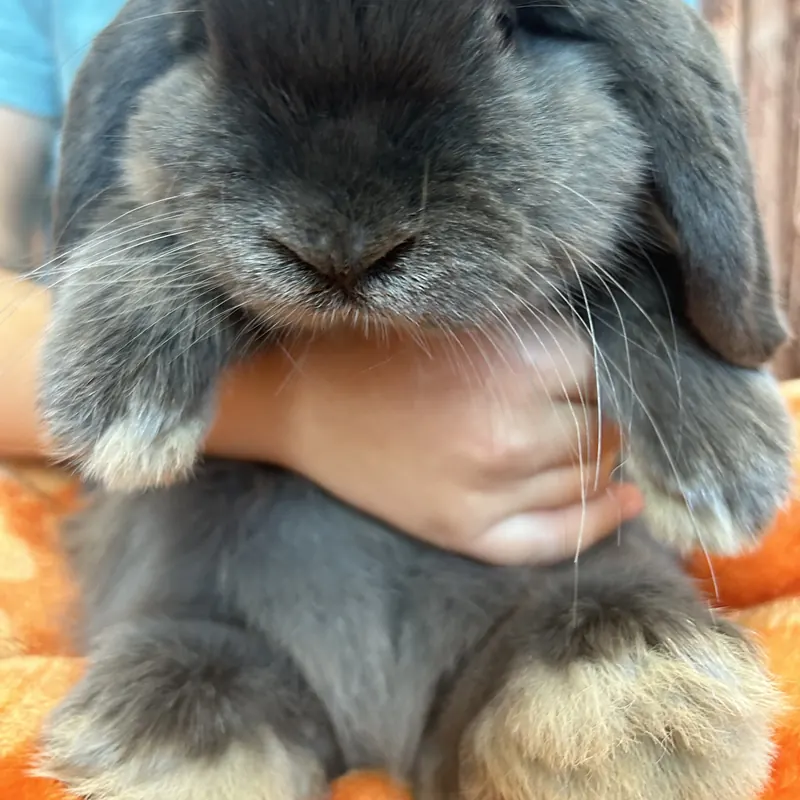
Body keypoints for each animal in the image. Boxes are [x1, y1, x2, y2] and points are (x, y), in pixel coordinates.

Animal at [35, 1, 794, 799]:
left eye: (510, 28)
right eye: (207, 41)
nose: (341, 252)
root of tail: (378, 746)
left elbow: (641, 279)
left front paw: (725, 472)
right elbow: (156, 226)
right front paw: (111, 383)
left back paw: (628, 709)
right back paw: (171, 735)